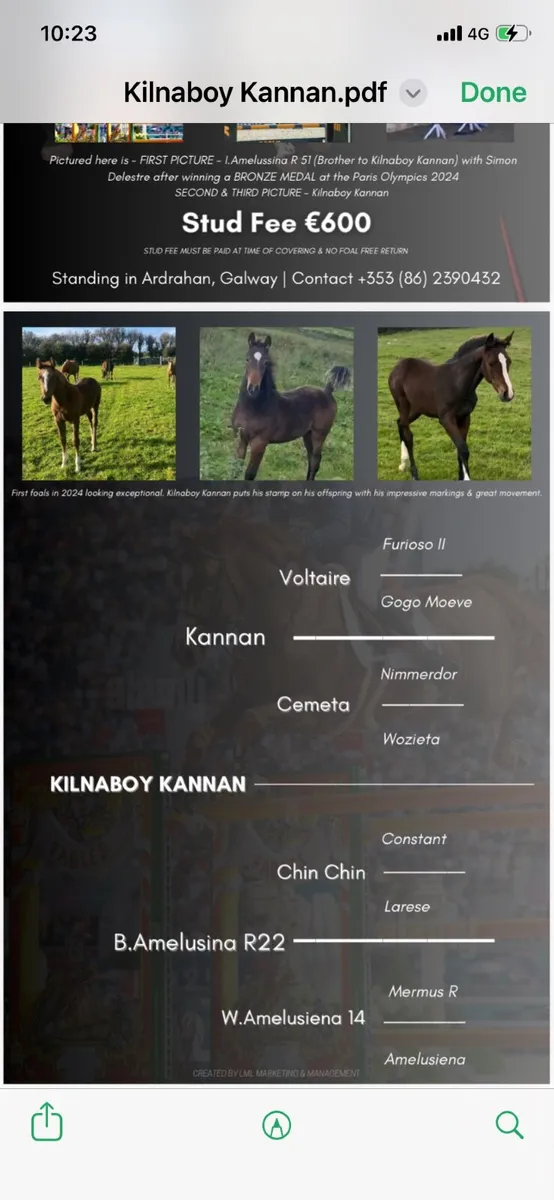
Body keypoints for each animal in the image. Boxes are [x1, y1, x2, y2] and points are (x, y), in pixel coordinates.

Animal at [231, 332, 351, 481]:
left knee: (315, 461)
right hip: (307, 435)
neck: (254, 408)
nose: (253, 388)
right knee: (311, 459)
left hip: (319, 435)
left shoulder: (259, 443)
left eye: (266, 362)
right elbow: (236, 469)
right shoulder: (241, 439)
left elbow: (249, 474)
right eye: (247, 359)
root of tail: (327, 392)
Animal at [388, 331, 515, 481]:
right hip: (402, 404)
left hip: (417, 409)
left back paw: (403, 464)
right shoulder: (446, 419)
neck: (457, 384)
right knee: (408, 435)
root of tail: (398, 366)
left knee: (400, 423)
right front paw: (466, 478)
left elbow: (461, 449)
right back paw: (414, 473)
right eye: (491, 363)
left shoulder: (465, 417)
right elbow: (463, 449)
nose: (507, 393)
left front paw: (461, 477)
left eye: (509, 362)